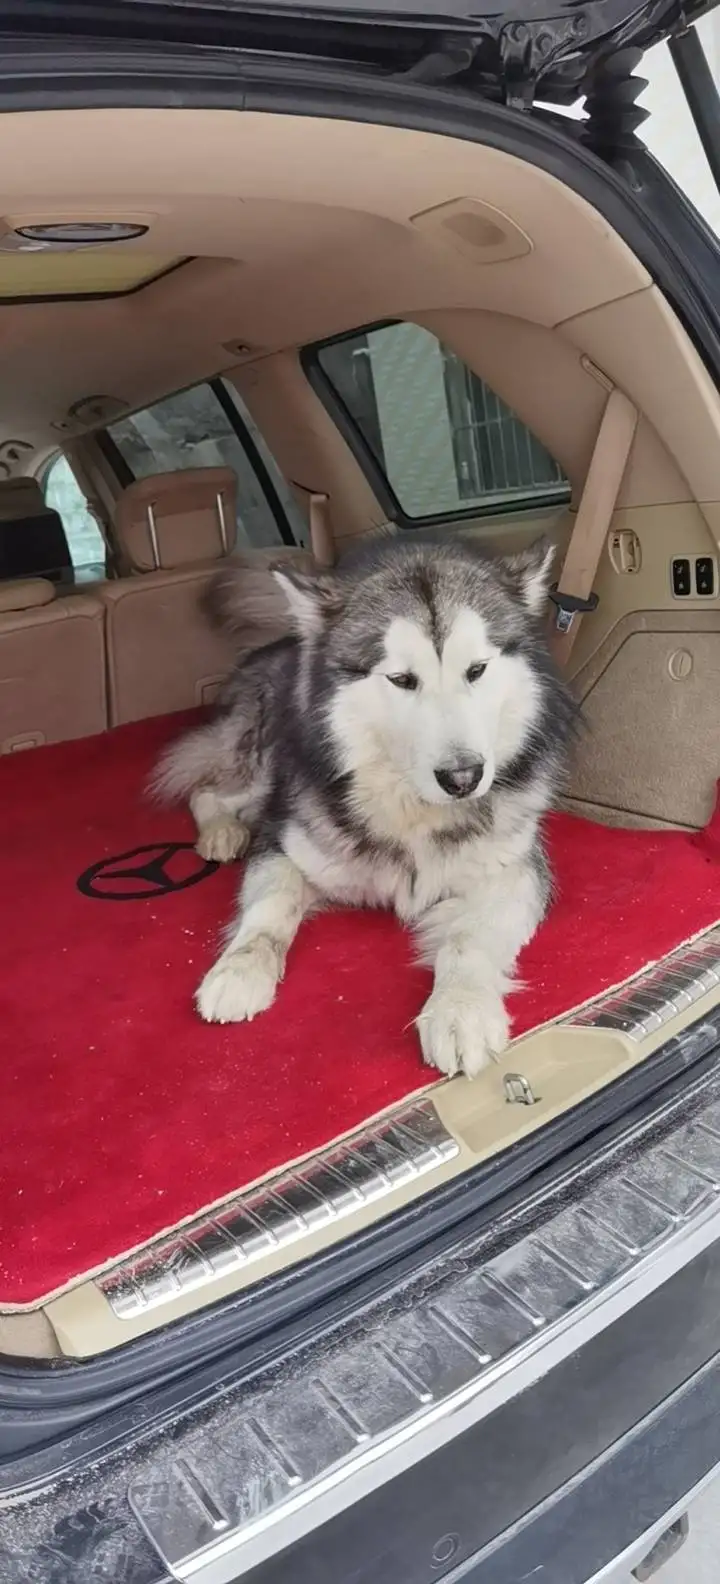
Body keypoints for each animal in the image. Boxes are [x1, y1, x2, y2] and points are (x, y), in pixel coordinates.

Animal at [155, 535, 579, 1077]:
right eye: (401, 679)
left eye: (477, 671)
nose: (464, 778)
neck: (412, 806)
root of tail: (282, 644)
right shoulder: (286, 841)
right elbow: (271, 909)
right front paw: (239, 969)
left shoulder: (516, 871)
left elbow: (466, 940)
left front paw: (459, 1009)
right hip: (265, 764)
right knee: (206, 788)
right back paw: (222, 832)